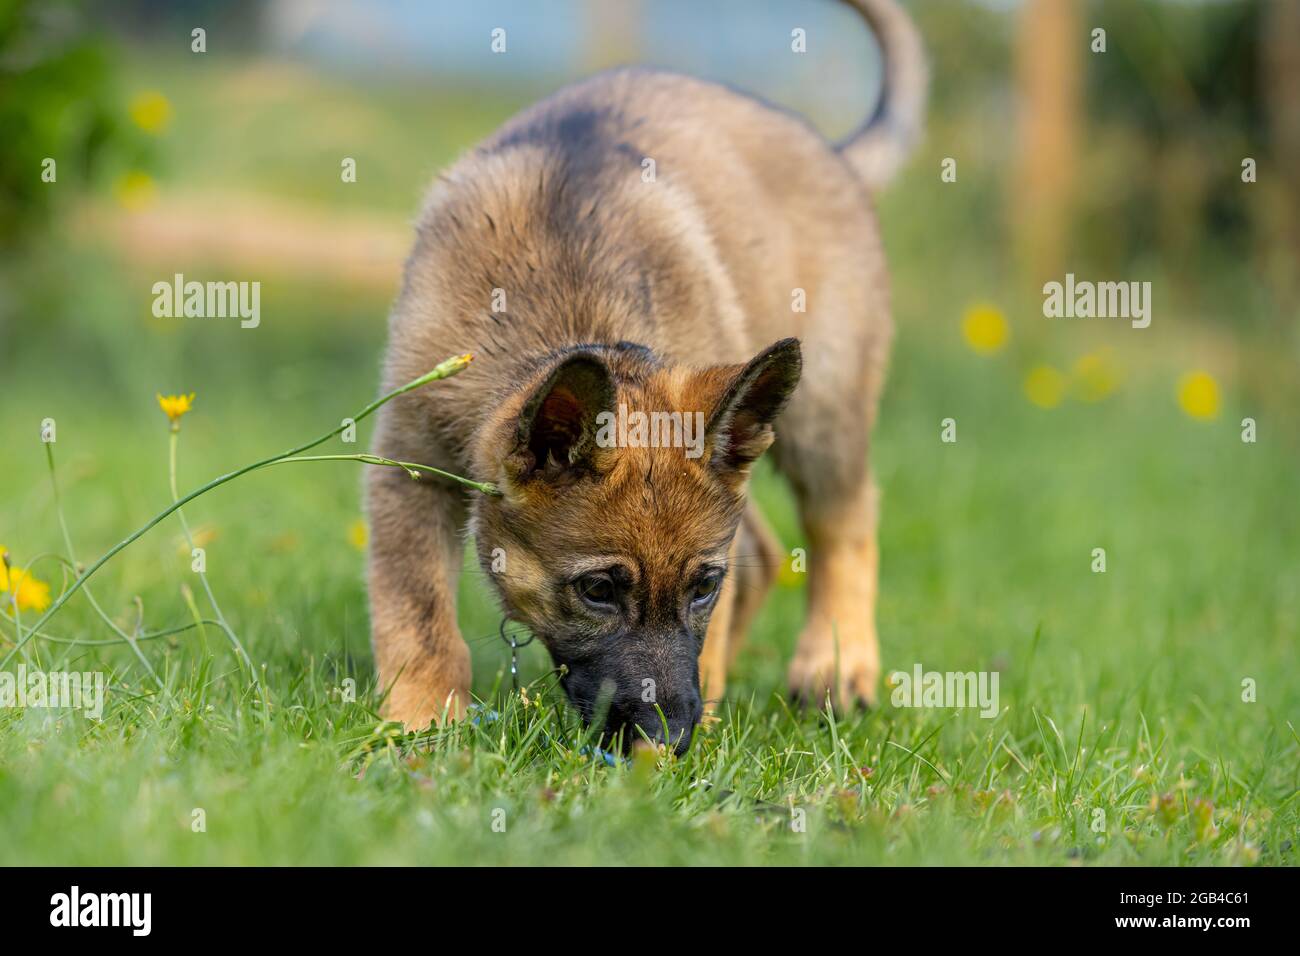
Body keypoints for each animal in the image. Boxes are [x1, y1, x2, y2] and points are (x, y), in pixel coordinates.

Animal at [371, 0, 930, 754]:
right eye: (599, 590)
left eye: (701, 587)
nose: (669, 739)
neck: (565, 311)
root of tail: (832, 152)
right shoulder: (411, 465)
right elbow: (417, 606)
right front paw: (422, 722)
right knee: (766, 549)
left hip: (826, 409)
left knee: (844, 521)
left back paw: (836, 666)